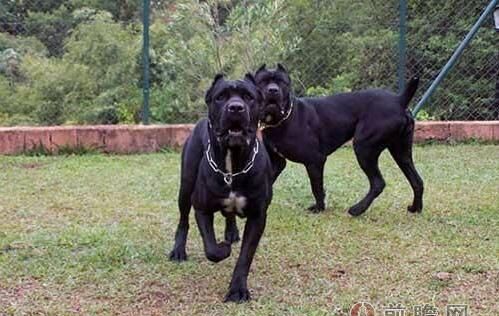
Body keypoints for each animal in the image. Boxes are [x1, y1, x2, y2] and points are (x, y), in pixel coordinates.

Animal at [171, 73, 274, 302]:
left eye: (248, 97)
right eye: (220, 97)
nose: (235, 108)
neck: (232, 166)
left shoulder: (258, 216)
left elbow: (245, 256)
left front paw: (237, 290)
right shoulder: (202, 208)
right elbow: (211, 247)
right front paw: (223, 249)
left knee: (229, 215)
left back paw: (232, 233)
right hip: (185, 186)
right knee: (183, 221)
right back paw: (178, 251)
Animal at [256, 64, 424, 217]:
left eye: (282, 82)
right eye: (262, 81)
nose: (273, 90)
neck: (283, 118)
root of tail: (399, 100)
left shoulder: (315, 161)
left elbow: (316, 187)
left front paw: (319, 208)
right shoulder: (277, 162)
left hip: (364, 147)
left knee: (378, 183)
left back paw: (357, 209)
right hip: (401, 152)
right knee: (417, 181)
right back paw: (415, 208)